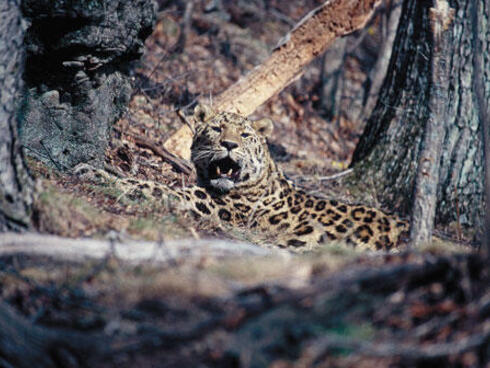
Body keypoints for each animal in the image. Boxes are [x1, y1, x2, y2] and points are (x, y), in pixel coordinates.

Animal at [74, 103, 408, 253]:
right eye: (217, 129)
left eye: (245, 135)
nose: (230, 144)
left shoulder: (211, 204)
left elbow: (156, 187)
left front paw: (94, 172)